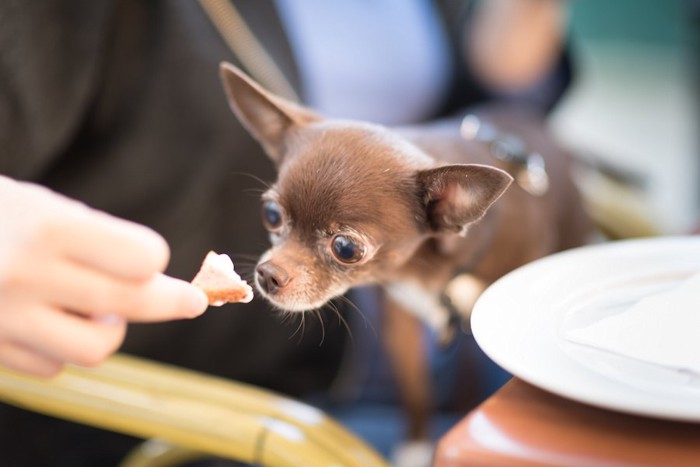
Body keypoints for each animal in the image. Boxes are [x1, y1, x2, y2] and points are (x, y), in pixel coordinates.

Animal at [219, 60, 592, 456]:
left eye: (346, 249)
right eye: (271, 215)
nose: (267, 274)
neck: (430, 270)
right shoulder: (400, 321)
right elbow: (415, 390)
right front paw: (415, 449)